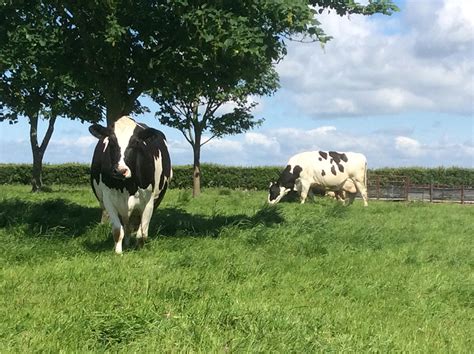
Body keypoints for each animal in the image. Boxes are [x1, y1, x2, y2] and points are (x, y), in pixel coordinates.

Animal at [89, 117, 172, 253]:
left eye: (136, 142)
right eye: (111, 141)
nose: (120, 170)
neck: (126, 187)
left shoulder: (149, 202)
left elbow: (142, 233)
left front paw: (140, 251)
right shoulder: (108, 200)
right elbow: (118, 231)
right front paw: (118, 253)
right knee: (127, 227)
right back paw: (127, 244)